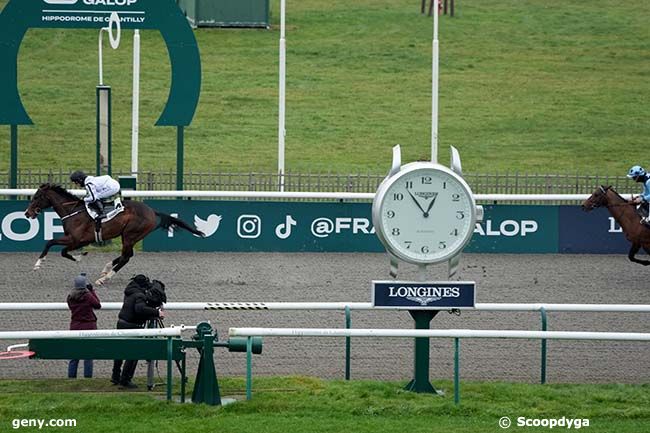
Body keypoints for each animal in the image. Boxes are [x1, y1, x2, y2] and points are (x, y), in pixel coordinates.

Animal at [25, 184, 204, 286]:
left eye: (37, 197)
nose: (27, 213)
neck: (73, 212)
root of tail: (152, 211)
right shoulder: (77, 240)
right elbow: (55, 245)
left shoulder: (76, 239)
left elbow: (55, 245)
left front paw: (38, 264)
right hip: (130, 236)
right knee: (127, 255)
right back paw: (106, 269)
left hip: (130, 235)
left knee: (126, 257)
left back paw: (104, 278)